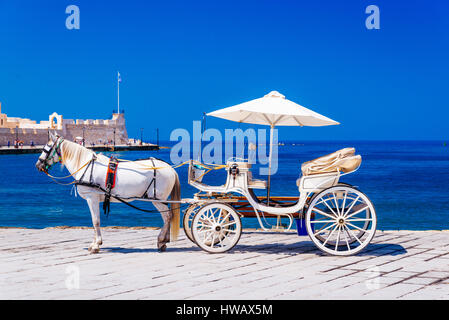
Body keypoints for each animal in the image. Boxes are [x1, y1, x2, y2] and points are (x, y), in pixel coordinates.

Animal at [36, 132, 180, 252]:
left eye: (46, 148)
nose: (38, 165)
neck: (86, 165)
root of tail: (170, 169)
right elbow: (95, 221)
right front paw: (94, 243)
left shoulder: (92, 198)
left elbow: (95, 221)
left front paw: (96, 245)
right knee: (168, 217)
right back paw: (164, 240)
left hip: (157, 199)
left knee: (167, 216)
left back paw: (161, 240)